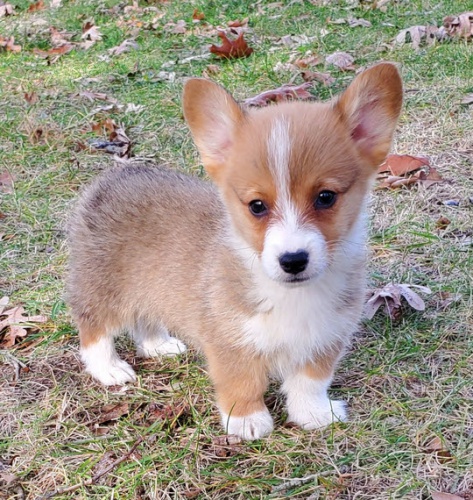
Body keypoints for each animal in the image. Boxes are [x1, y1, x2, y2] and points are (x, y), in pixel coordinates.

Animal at [68, 63, 402, 442]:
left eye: (326, 197)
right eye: (257, 206)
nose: (293, 260)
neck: (290, 294)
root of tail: (115, 176)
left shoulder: (325, 337)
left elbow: (309, 382)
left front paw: (312, 414)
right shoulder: (228, 340)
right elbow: (242, 382)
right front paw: (247, 420)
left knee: (145, 318)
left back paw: (159, 345)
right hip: (104, 289)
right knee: (93, 329)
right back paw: (109, 368)